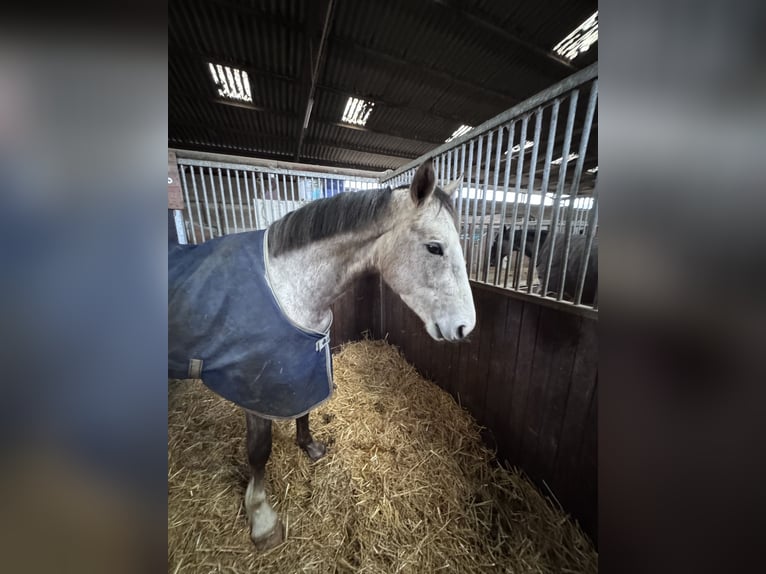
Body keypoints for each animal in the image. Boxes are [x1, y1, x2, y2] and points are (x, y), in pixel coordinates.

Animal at [168, 161, 476, 550]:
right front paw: (262, 518)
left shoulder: (302, 362)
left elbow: (306, 410)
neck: (287, 285)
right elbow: (259, 449)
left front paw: (310, 447)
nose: (466, 327)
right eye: (434, 248)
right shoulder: (254, 386)